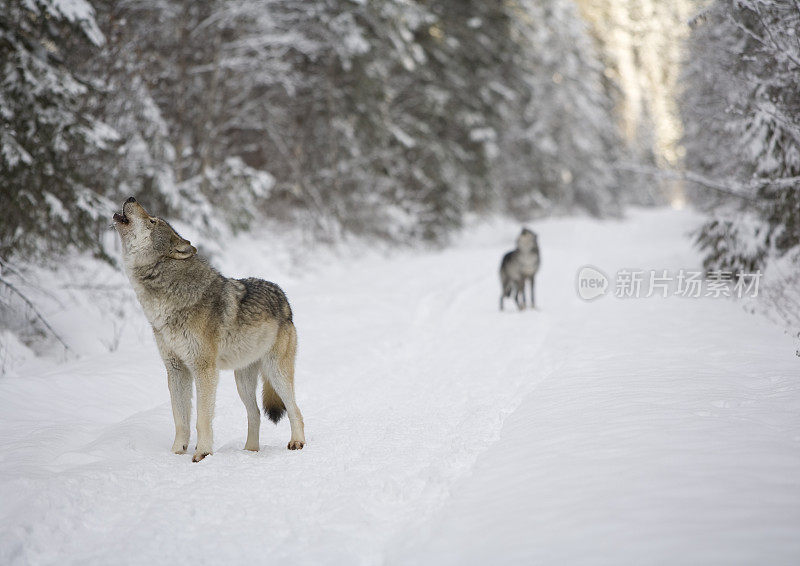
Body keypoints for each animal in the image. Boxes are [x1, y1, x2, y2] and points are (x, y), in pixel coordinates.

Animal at [115, 197, 306, 464]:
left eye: (152, 221)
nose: (131, 198)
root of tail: (283, 297)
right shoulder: (176, 369)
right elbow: (181, 419)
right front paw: (176, 452)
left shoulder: (204, 369)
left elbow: (202, 419)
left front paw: (202, 453)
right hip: (242, 381)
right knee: (255, 413)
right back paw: (250, 451)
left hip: (276, 372)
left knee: (295, 410)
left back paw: (297, 442)